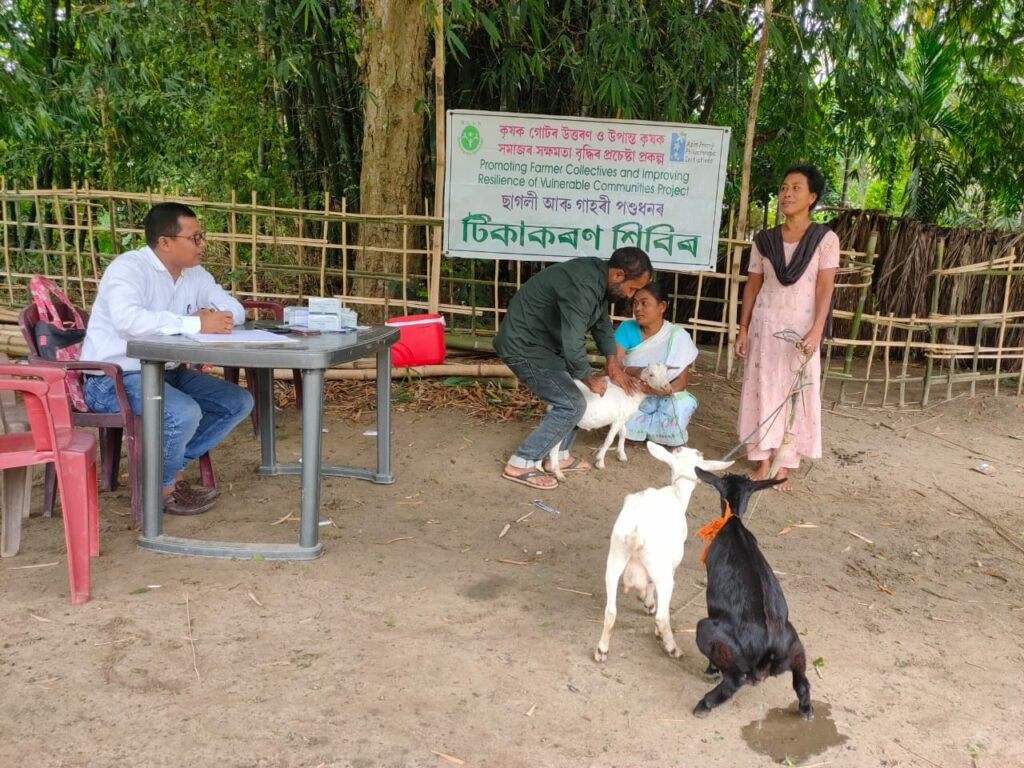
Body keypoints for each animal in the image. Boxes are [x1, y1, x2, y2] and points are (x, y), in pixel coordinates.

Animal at [593, 442, 737, 663]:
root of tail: (636, 533)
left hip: (615, 560)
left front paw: (646, 600)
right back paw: (672, 647)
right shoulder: (672, 562)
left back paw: (602, 650)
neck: (676, 493)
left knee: (610, 611)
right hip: (661, 570)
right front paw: (649, 604)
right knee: (662, 617)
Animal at [688, 468, 815, 720]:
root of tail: (768, 651)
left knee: (735, 679)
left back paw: (705, 704)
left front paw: (711, 670)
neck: (733, 521)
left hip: (708, 631)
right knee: (802, 681)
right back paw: (806, 709)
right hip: (795, 645)